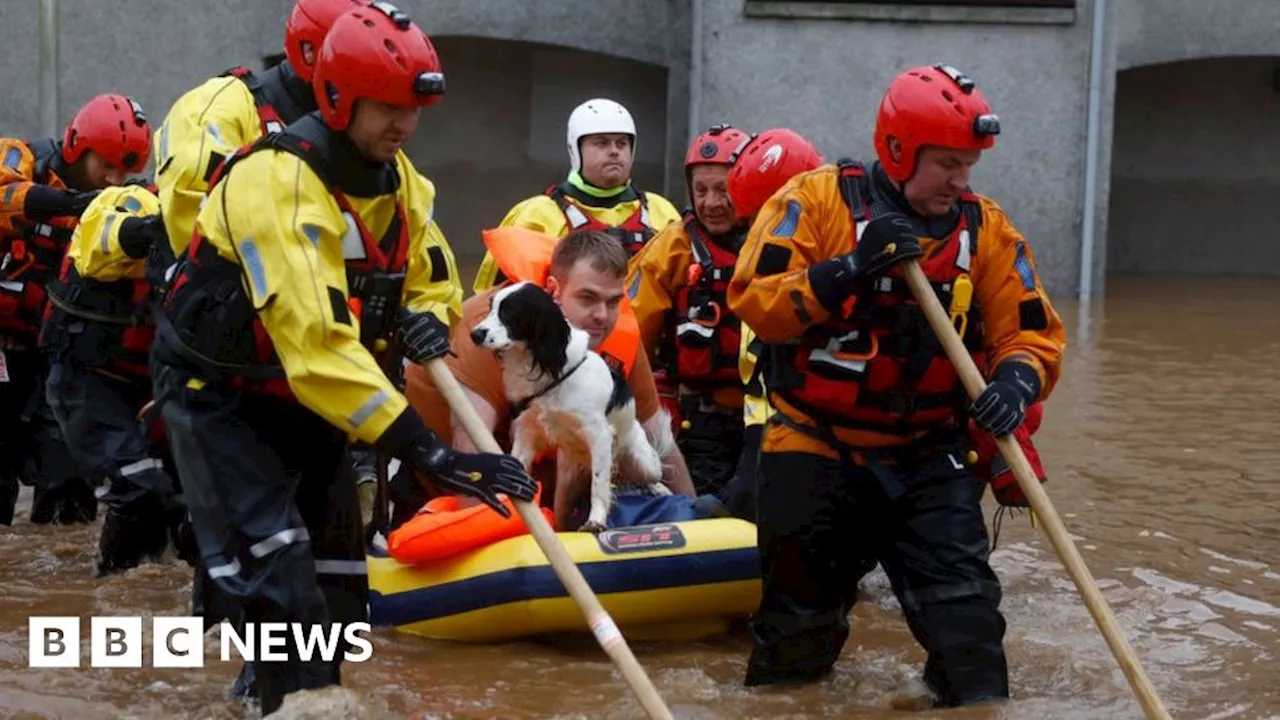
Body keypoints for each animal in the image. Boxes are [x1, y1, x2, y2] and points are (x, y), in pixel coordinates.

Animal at [468, 283, 670, 530]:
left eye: (509, 312)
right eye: (491, 307)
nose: (475, 334)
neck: (553, 374)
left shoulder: (600, 436)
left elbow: (598, 485)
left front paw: (595, 520)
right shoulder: (527, 430)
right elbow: (516, 464)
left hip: (643, 462)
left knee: (652, 477)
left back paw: (660, 489)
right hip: (565, 488)